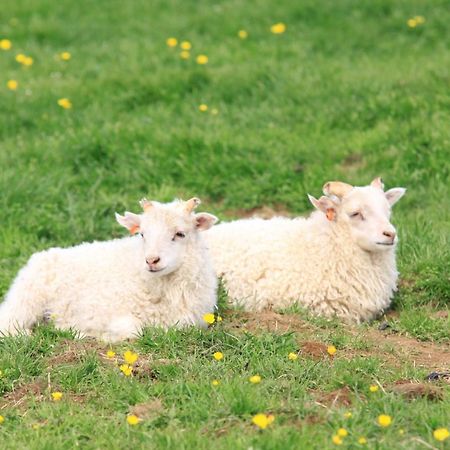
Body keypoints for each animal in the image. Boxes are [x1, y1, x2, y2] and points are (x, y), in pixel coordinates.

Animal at [0, 197, 218, 342]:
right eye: (142, 234)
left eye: (180, 234)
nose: (151, 260)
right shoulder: (97, 312)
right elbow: (133, 329)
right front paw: (95, 334)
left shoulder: (192, 320)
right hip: (28, 299)